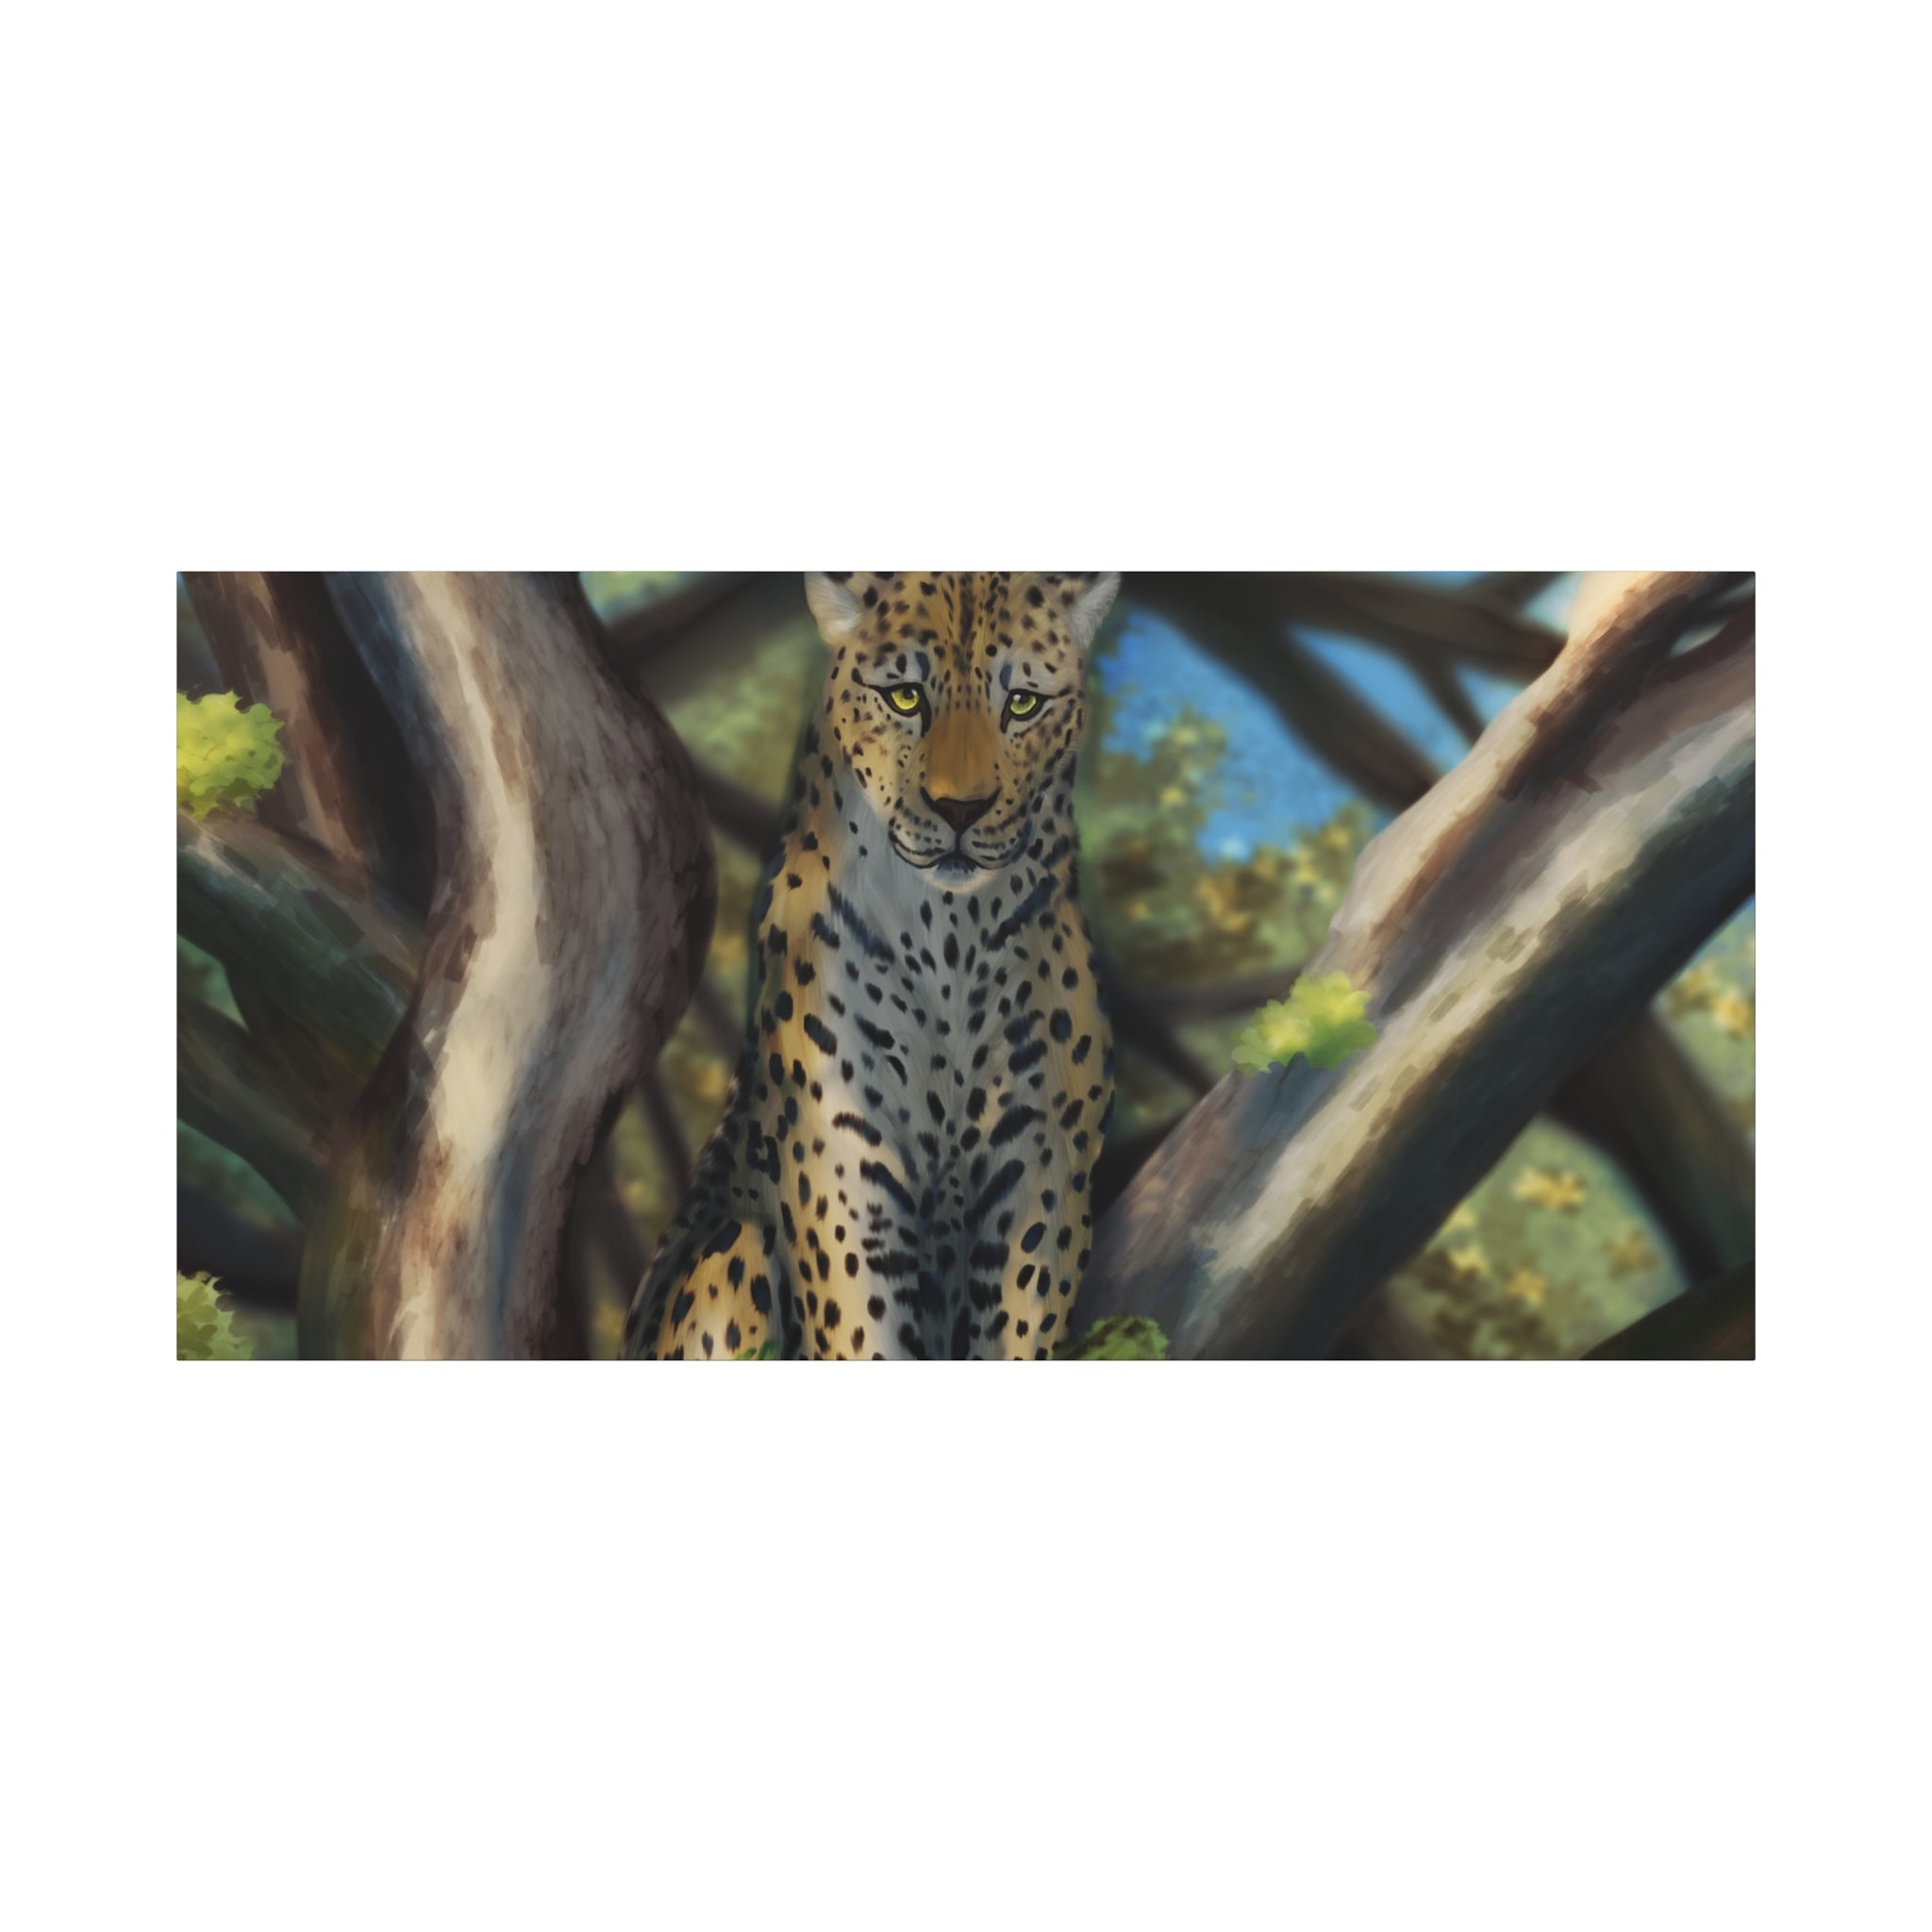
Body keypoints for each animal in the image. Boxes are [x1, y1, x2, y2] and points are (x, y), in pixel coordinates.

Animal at [624, 570, 1120, 1361]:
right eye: (905, 697)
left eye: (1022, 704)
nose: (961, 810)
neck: (951, 935)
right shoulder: (843, 1167)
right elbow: (863, 1330)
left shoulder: (1041, 1170)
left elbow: (1019, 1328)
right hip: (726, 1257)